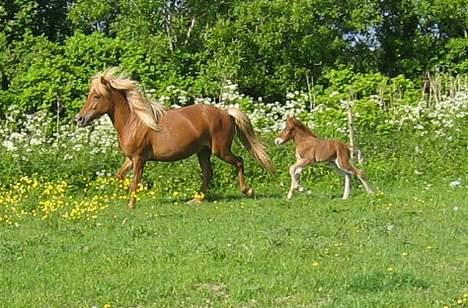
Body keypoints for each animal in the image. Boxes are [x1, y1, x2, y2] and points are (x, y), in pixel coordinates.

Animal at [75, 68, 272, 208]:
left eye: (97, 96)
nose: (79, 119)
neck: (134, 121)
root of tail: (226, 113)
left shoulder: (139, 159)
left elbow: (134, 182)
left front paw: (131, 205)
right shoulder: (130, 159)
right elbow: (120, 176)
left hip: (221, 150)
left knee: (239, 162)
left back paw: (248, 191)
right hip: (203, 152)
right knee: (208, 173)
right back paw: (196, 200)